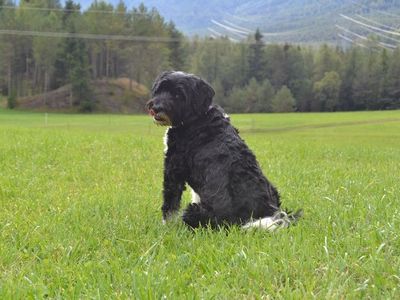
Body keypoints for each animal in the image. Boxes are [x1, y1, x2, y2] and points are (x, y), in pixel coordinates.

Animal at [147, 70, 300, 230]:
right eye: (160, 89)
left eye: (178, 95)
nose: (156, 107)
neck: (197, 116)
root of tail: (262, 214)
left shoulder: (173, 169)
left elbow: (170, 202)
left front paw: (166, 226)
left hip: (193, 211)